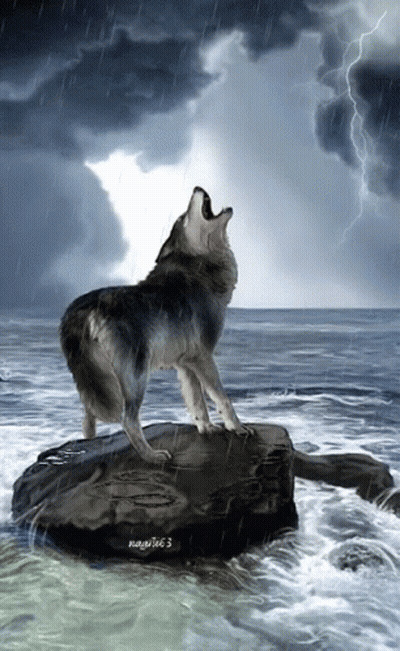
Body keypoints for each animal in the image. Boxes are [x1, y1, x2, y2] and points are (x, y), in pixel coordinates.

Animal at [60, 187, 249, 464]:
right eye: (183, 216)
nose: (197, 187)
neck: (200, 267)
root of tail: (84, 307)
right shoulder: (204, 357)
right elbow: (221, 397)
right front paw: (237, 427)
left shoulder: (186, 364)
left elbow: (197, 401)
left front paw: (206, 428)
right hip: (136, 376)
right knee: (128, 420)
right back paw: (152, 456)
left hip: (96, 382)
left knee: (87, 419)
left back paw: (90, 447)